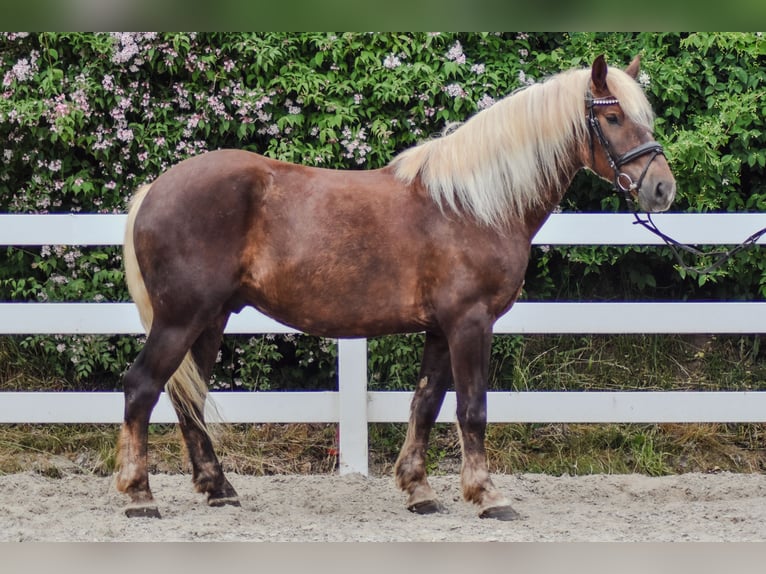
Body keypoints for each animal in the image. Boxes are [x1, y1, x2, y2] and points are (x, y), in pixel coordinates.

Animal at [116, 54, 676, 520]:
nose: (662, 188)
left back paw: (218, 489)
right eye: (612, 118)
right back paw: (140, 495)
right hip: (180, 319)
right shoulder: (470, 323)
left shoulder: (441, 329)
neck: (472, 206)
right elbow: (472, 409)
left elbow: (425, 404)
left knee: (187, 400)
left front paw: (419, 490)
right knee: (142, 387)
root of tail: (154, 189)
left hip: (209, 320)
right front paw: (487, 495)